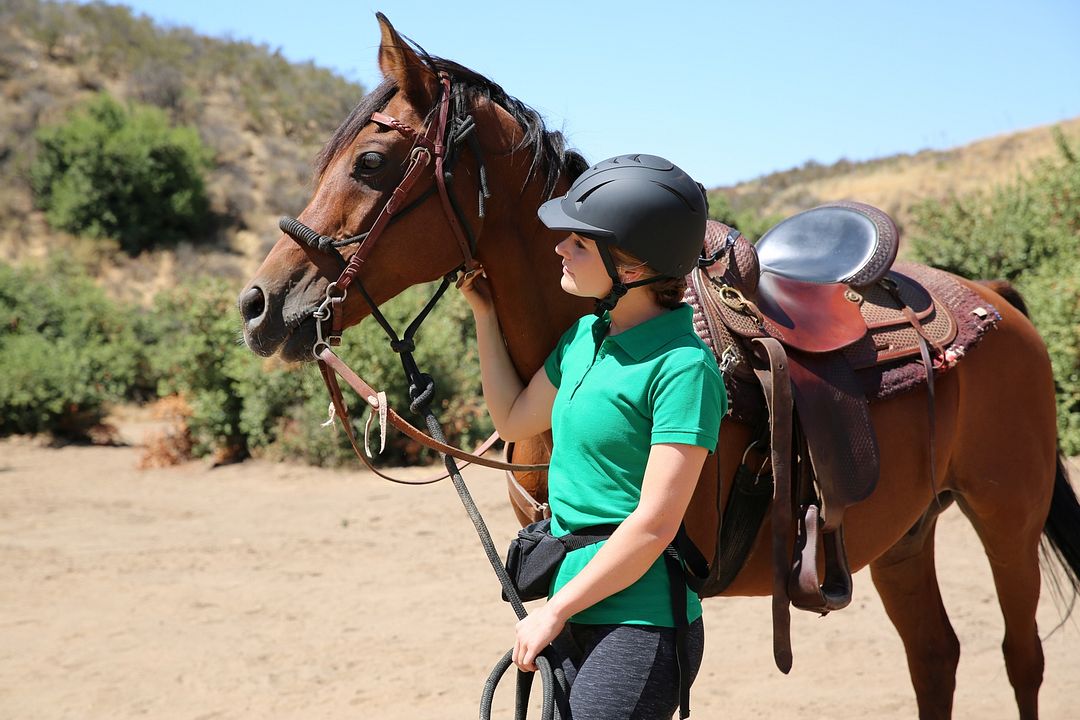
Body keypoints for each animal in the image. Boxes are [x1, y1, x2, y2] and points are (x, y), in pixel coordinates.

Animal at [238, 14, 1080, 716]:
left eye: (372, 162)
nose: (257, 304)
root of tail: (995, 301)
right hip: (907, 532)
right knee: (935, 656)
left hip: (1006, 516)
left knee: (1022, 658)